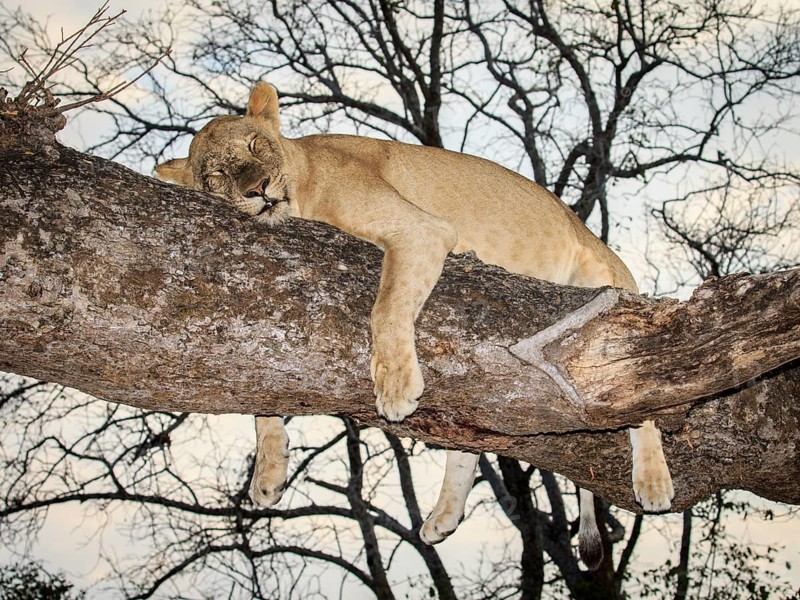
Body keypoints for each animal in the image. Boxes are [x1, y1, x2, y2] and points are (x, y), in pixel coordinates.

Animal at [156, 82, 674, 569]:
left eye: (255, 146)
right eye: (216, 175)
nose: (258, 189)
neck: (300, 187)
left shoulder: (421, 230)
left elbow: (386, 306)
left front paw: (396, 384)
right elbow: (262, 397)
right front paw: (266, 472)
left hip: (614, 295)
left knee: (643, 382)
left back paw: (653, 479)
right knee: (467, 449)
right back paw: (443, 517)